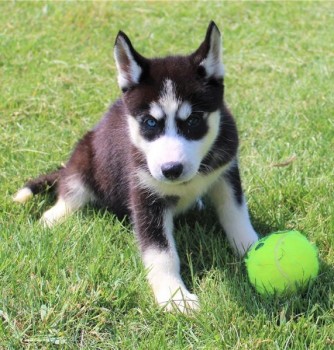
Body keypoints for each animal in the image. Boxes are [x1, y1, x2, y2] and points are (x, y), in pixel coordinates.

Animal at [14, 21, 258, 312]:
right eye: (150, 122)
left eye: (193, 120)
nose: (171, 170)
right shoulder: (145, 194)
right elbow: (161, 252)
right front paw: (174, 296)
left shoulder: (226, 173)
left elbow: (237, 216)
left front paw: (253, 247)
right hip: (84, 157)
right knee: (71, 191)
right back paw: (52, 218)